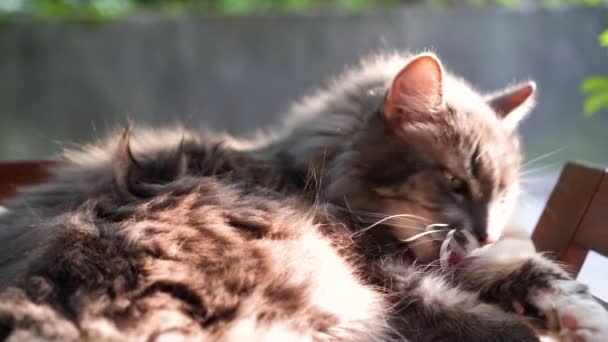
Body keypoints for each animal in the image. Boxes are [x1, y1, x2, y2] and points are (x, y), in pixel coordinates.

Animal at [1, 52, 608, 340]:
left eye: (503, 196)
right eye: (456, 182)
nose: (484, 232)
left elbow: (545, 274)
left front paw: (584, 317)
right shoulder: (398, 285)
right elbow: (487, 319)